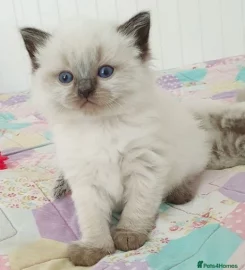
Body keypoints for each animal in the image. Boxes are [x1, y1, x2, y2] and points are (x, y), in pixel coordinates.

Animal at [20, 12, 245, 266]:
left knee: (194, 172)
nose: (85, 91)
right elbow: (93, 222)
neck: (100, 127)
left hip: (189, 157)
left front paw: (128, 237)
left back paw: (180, 193)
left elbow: (136, 210)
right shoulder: (87, 183)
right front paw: (93, 249)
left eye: (105, 72)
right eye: (65, 78)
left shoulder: (144, 169)